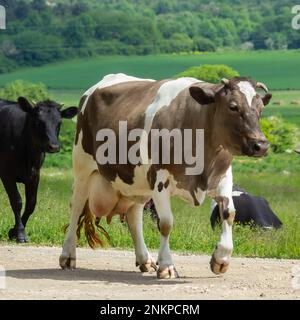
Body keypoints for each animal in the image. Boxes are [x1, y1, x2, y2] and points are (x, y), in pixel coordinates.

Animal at [0, 97, 77, 242]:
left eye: (59, 122)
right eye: (38, 122)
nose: (54, 146)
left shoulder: (35, 174)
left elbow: (31, 203)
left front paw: (13, 231)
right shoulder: (6, 174)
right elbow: (17, 201)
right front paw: (20, 233)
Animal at [60, 72, 272, 278]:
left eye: (260, 108)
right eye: (233, 106)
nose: (261, 145)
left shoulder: (223, 177)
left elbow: (229, 213)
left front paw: (221, 259)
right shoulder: (159, 178)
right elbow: (166, 223)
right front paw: (167, 266)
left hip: (138, 182)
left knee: (134, 215)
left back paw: (144, 259)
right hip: (83, 168)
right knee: (76, 207)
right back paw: (68, 255)